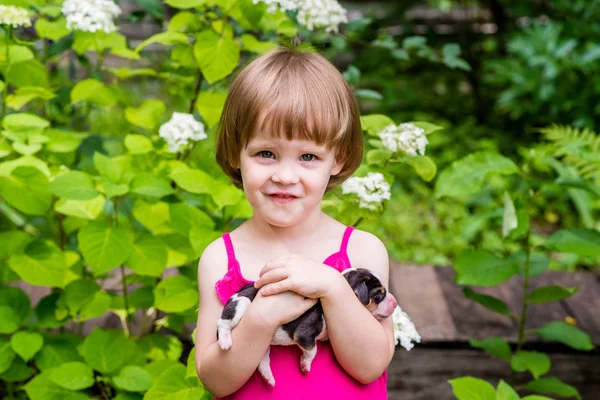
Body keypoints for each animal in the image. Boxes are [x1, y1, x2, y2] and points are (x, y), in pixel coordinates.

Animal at [216, 268, 398, 386]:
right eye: (379, 295)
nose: (395, 303)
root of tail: (236, 294)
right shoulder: (304, 335)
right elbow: (313, 351)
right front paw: (305, 366)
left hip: (262, 340)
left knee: (262, 360)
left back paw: (268, 378)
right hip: (241, 306)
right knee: (223, 323)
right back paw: (225, 342)